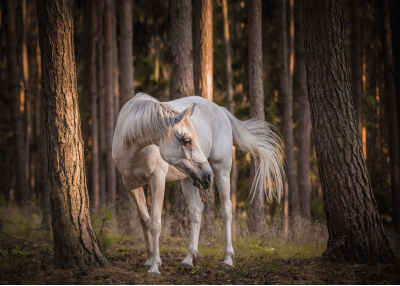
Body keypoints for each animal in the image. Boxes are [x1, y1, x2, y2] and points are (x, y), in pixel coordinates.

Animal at [111, 93, 282, 274]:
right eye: (186, 140)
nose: (208, 175)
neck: (133, 146)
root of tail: (220, 110)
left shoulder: (157, 180)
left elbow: (155, 223)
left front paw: (155, 266)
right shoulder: (131, 185)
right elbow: (144, 221)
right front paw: (149, 260)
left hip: (221, 170)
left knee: (226, 210)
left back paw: (228, 259)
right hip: (189, 178)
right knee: (196, 210)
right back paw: (189, 258)